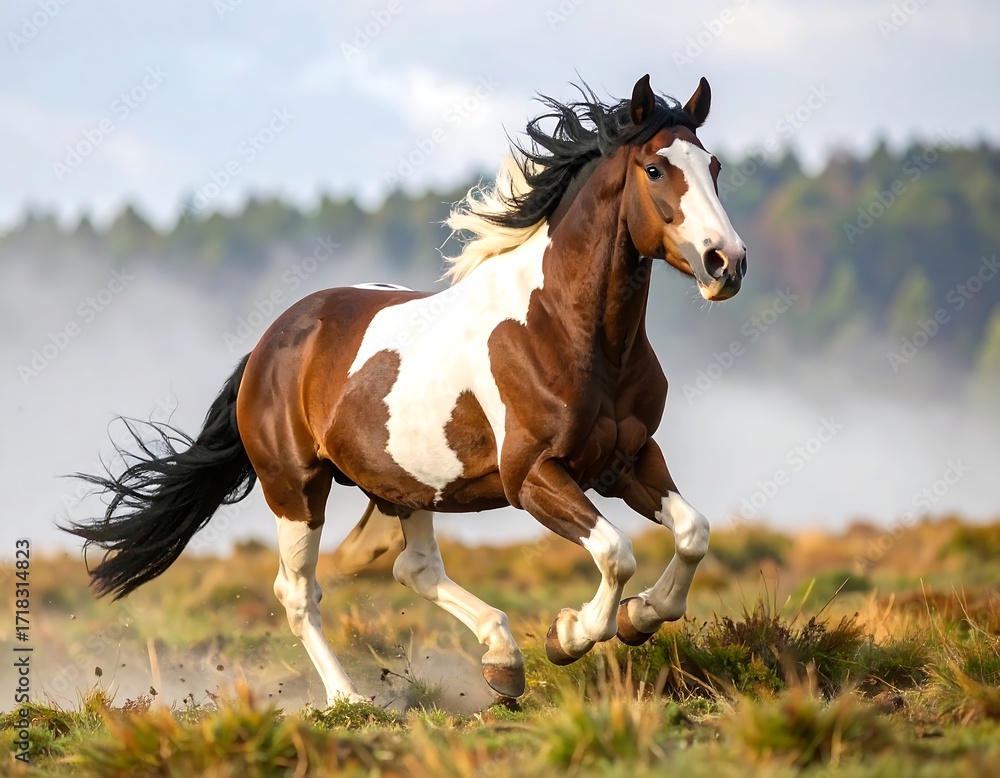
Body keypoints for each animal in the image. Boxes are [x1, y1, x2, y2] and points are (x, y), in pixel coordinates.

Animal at [65, 74, 746, 705]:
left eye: (712, 167)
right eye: (655, 168)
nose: (726, 263)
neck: (568, 330)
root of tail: (271, 342)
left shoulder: (626, 457)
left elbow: (693, 533)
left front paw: (639, 618)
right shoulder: (533, 476)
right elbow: (615, 551)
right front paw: (570, 634)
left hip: (405, 484)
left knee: (413, 568)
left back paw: (501, 660)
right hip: (296, 489)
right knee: (299, 592)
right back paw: (348, 700)